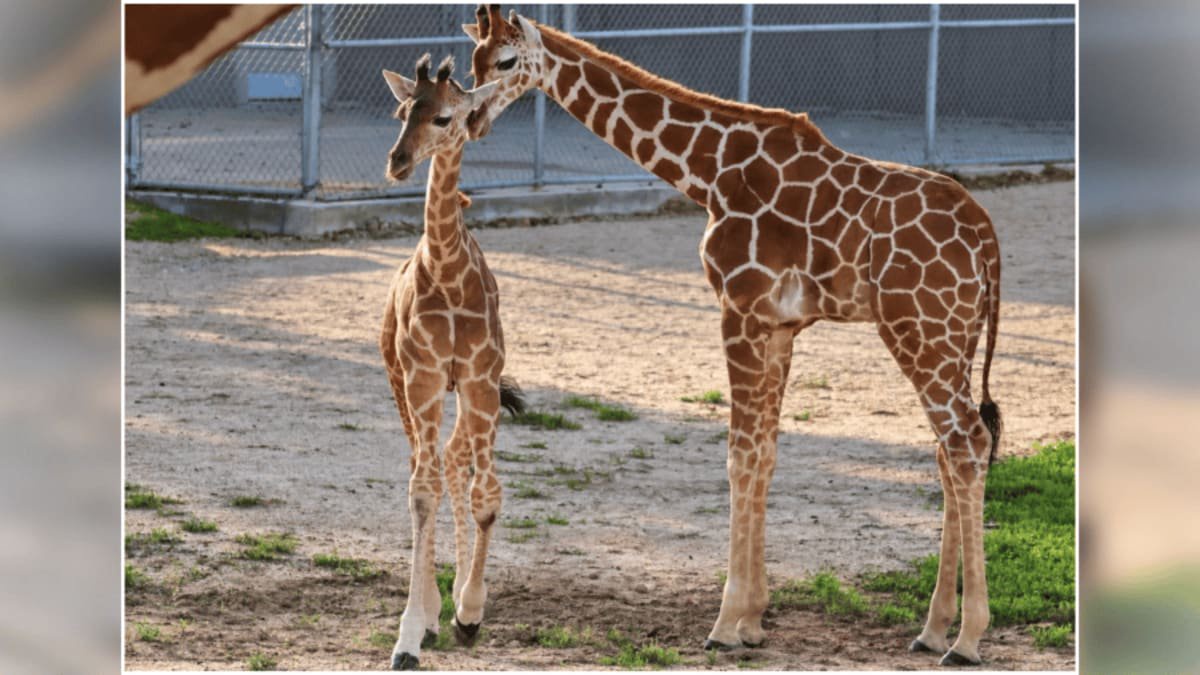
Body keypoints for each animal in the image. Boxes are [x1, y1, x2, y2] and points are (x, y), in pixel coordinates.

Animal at [464, 6, 1003, 666]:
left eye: (507, 61)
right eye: (472, 62)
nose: (470, 119)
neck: (710, 173)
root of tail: (984, 234)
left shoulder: (738, 310)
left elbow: (737, 455)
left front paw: (724, 623)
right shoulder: (780, 325)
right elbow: (765, 453)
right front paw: (753, 620)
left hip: (920, 328)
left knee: (968, 442)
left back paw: (969, 639)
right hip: (955, 336)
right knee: (949, 451)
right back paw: (932, 630)